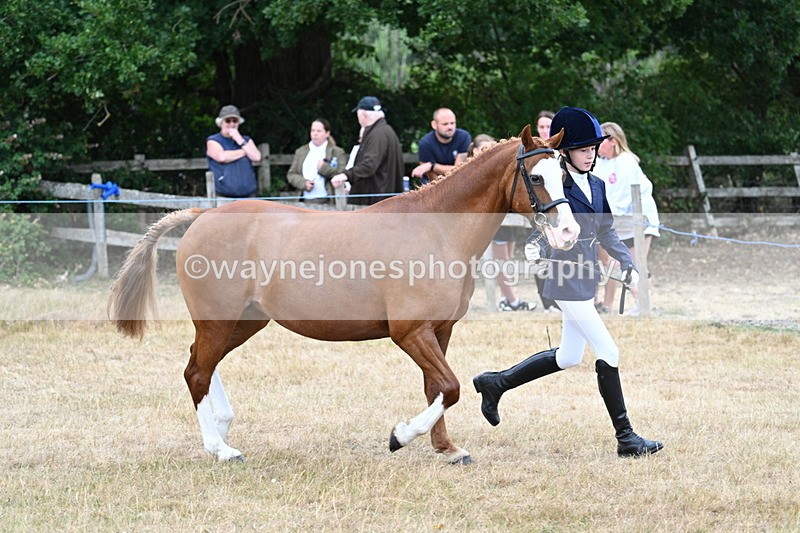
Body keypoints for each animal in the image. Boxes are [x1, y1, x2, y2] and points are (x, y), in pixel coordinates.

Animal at [108, 125, 579, 464]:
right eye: (536, 176)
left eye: (566, 175)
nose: (569, 232)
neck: (436, 230)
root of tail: (202, 216)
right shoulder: (410, 333)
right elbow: (449, 386)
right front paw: (400, 437)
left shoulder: (439, 331)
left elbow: (438, 389)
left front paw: (447, 449)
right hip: (220, 319)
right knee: (196, 372)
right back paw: (220, 448)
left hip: (243, 321)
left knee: (202, 365)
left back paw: (223, 427)